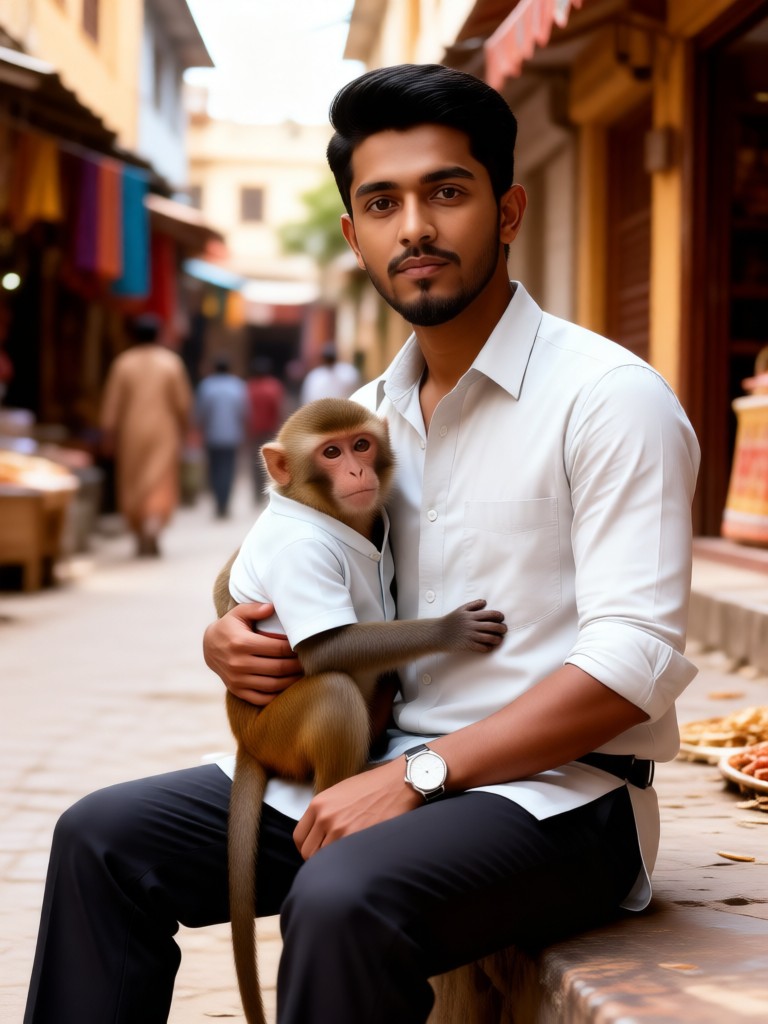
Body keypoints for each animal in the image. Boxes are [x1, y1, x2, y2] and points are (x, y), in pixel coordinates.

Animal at [212, 398, 507, 1024]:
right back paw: (340, 793)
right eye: (330, 452)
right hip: (276, 732)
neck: (327, 517)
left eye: (361, 445)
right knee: (333, 694)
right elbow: (326, 650)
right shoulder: (299, 558)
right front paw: (449, 630)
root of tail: (246, 738)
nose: (355, 471)